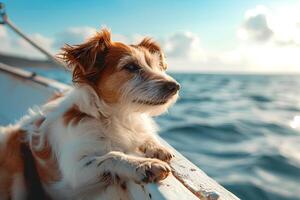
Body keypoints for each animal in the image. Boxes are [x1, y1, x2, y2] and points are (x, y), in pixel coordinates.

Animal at [0, 28, 179, 200]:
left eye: (157, 66)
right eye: (131, 67)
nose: (175, 86)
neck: (117, 116)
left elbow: (144, 137)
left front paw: (156, 147)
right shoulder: (74, 172)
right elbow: (112, 155)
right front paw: (145, 165)